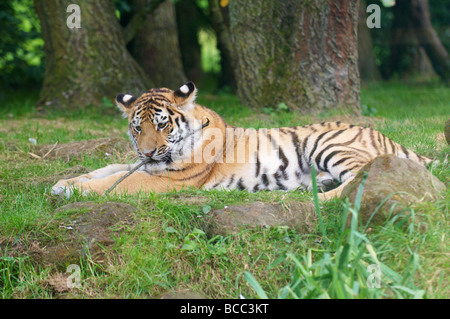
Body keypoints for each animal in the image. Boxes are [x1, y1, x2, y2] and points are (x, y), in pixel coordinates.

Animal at [51, 81, 434, 200]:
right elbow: (110, 168)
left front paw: (76, 191)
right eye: (136, 128)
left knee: (361, 178)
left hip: (329, 144)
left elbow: (117, 181)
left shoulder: (169, 181)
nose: (146, 151)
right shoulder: (141, 164)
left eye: (161, 126)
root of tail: (384, 135)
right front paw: (63, 183)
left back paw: (320, 199)